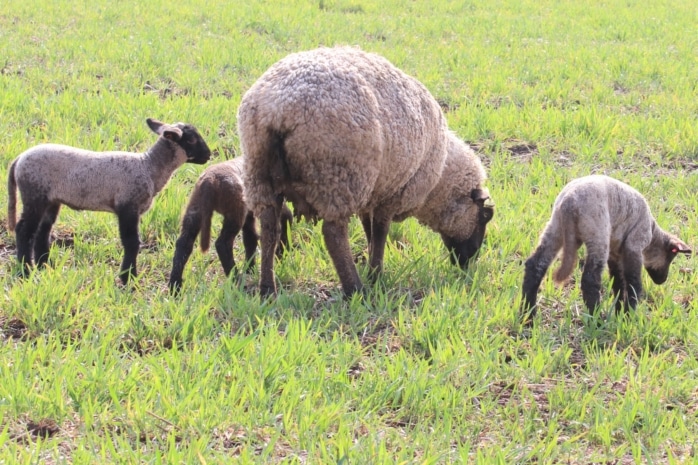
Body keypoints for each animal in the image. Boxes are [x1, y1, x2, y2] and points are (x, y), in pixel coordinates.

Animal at [6, 117, 209, 282]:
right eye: (191, 139)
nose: (208, 155)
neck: (149, 167)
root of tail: (19, 159)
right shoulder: (128, 206)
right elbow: (131, 242)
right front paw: (128, 278)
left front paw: (128, 276)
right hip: (34, 194)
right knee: (24, 230)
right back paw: (26, 271)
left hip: (50, 199)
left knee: (43, 230)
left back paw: (44, 266)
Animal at [167, 158, 292, 292]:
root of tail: (210, 181)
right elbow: (284, 220)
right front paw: (282, 253)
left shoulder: (249, 214)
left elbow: (250, 239)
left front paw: (250, 269)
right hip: (235, 211)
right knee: (222, 243)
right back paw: (237, 281)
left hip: (195, 210)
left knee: (184, 243)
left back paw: (174, 287)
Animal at [237, 45, 492, 296]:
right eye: (485, 216)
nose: (468, 263)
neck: (439, 178)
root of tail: (278, 110)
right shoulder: (393, 192)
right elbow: (380, 232)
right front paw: (376, 275)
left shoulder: (374, 190)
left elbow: (368, 228)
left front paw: (373, 265)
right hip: (338, 176)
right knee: (333, 233)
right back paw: (355, 289)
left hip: (259, 174)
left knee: (269, 227)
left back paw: (267, 288)